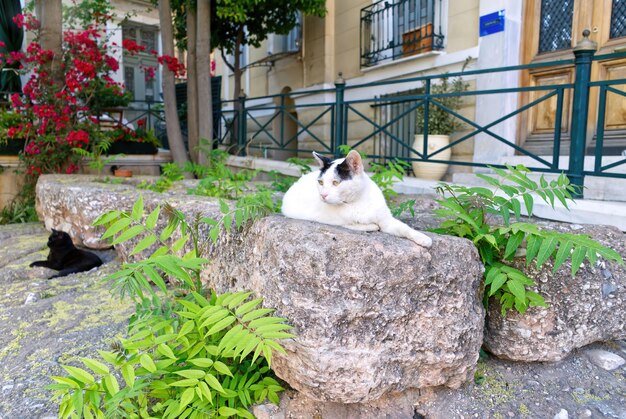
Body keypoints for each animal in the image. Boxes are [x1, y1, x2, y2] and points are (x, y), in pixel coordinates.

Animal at [282, 151, 432, 249]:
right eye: (320, 182)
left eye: (336, 183)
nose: (323, 195)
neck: (358, 202)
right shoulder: (329, 219)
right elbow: (358, 224)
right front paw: (371, 226)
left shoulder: (387, 220)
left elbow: (404, 227)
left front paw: (423, 238)